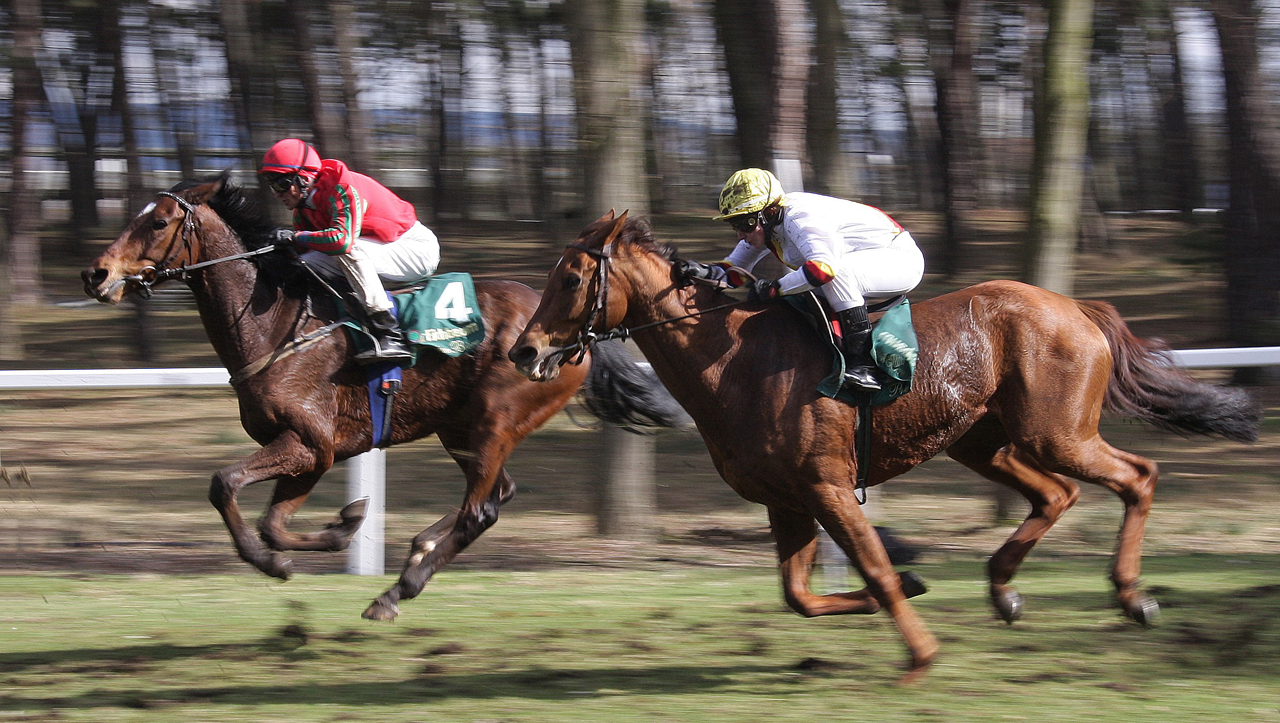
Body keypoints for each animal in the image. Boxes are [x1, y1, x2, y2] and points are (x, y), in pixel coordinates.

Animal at [81, 176, 686, 619]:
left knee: (482, 509)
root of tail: (565, 335)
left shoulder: (311, 444)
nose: (96, 273)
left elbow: (224, 484)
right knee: (499, 492)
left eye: (158, 221)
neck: (273, 325)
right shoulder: (311, 453)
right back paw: (420, 545)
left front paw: (273, 562)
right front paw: (341, 527)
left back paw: (398, 590)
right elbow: (273, 521)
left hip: (498, 419)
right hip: (459, 428)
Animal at [504, 208, 1254, 675]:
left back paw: (1131, 596)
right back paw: (1004, 590)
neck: (733, 359)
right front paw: (914, 583)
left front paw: (919, 644)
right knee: (1056, 494)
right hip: (982, 441)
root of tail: (1076, 307)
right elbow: (800, 595)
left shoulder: (826, 484)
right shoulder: (785, 497)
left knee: (1136, 476)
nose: (523, 350)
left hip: (1057, 431)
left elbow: (873, 568)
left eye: (571, 277)